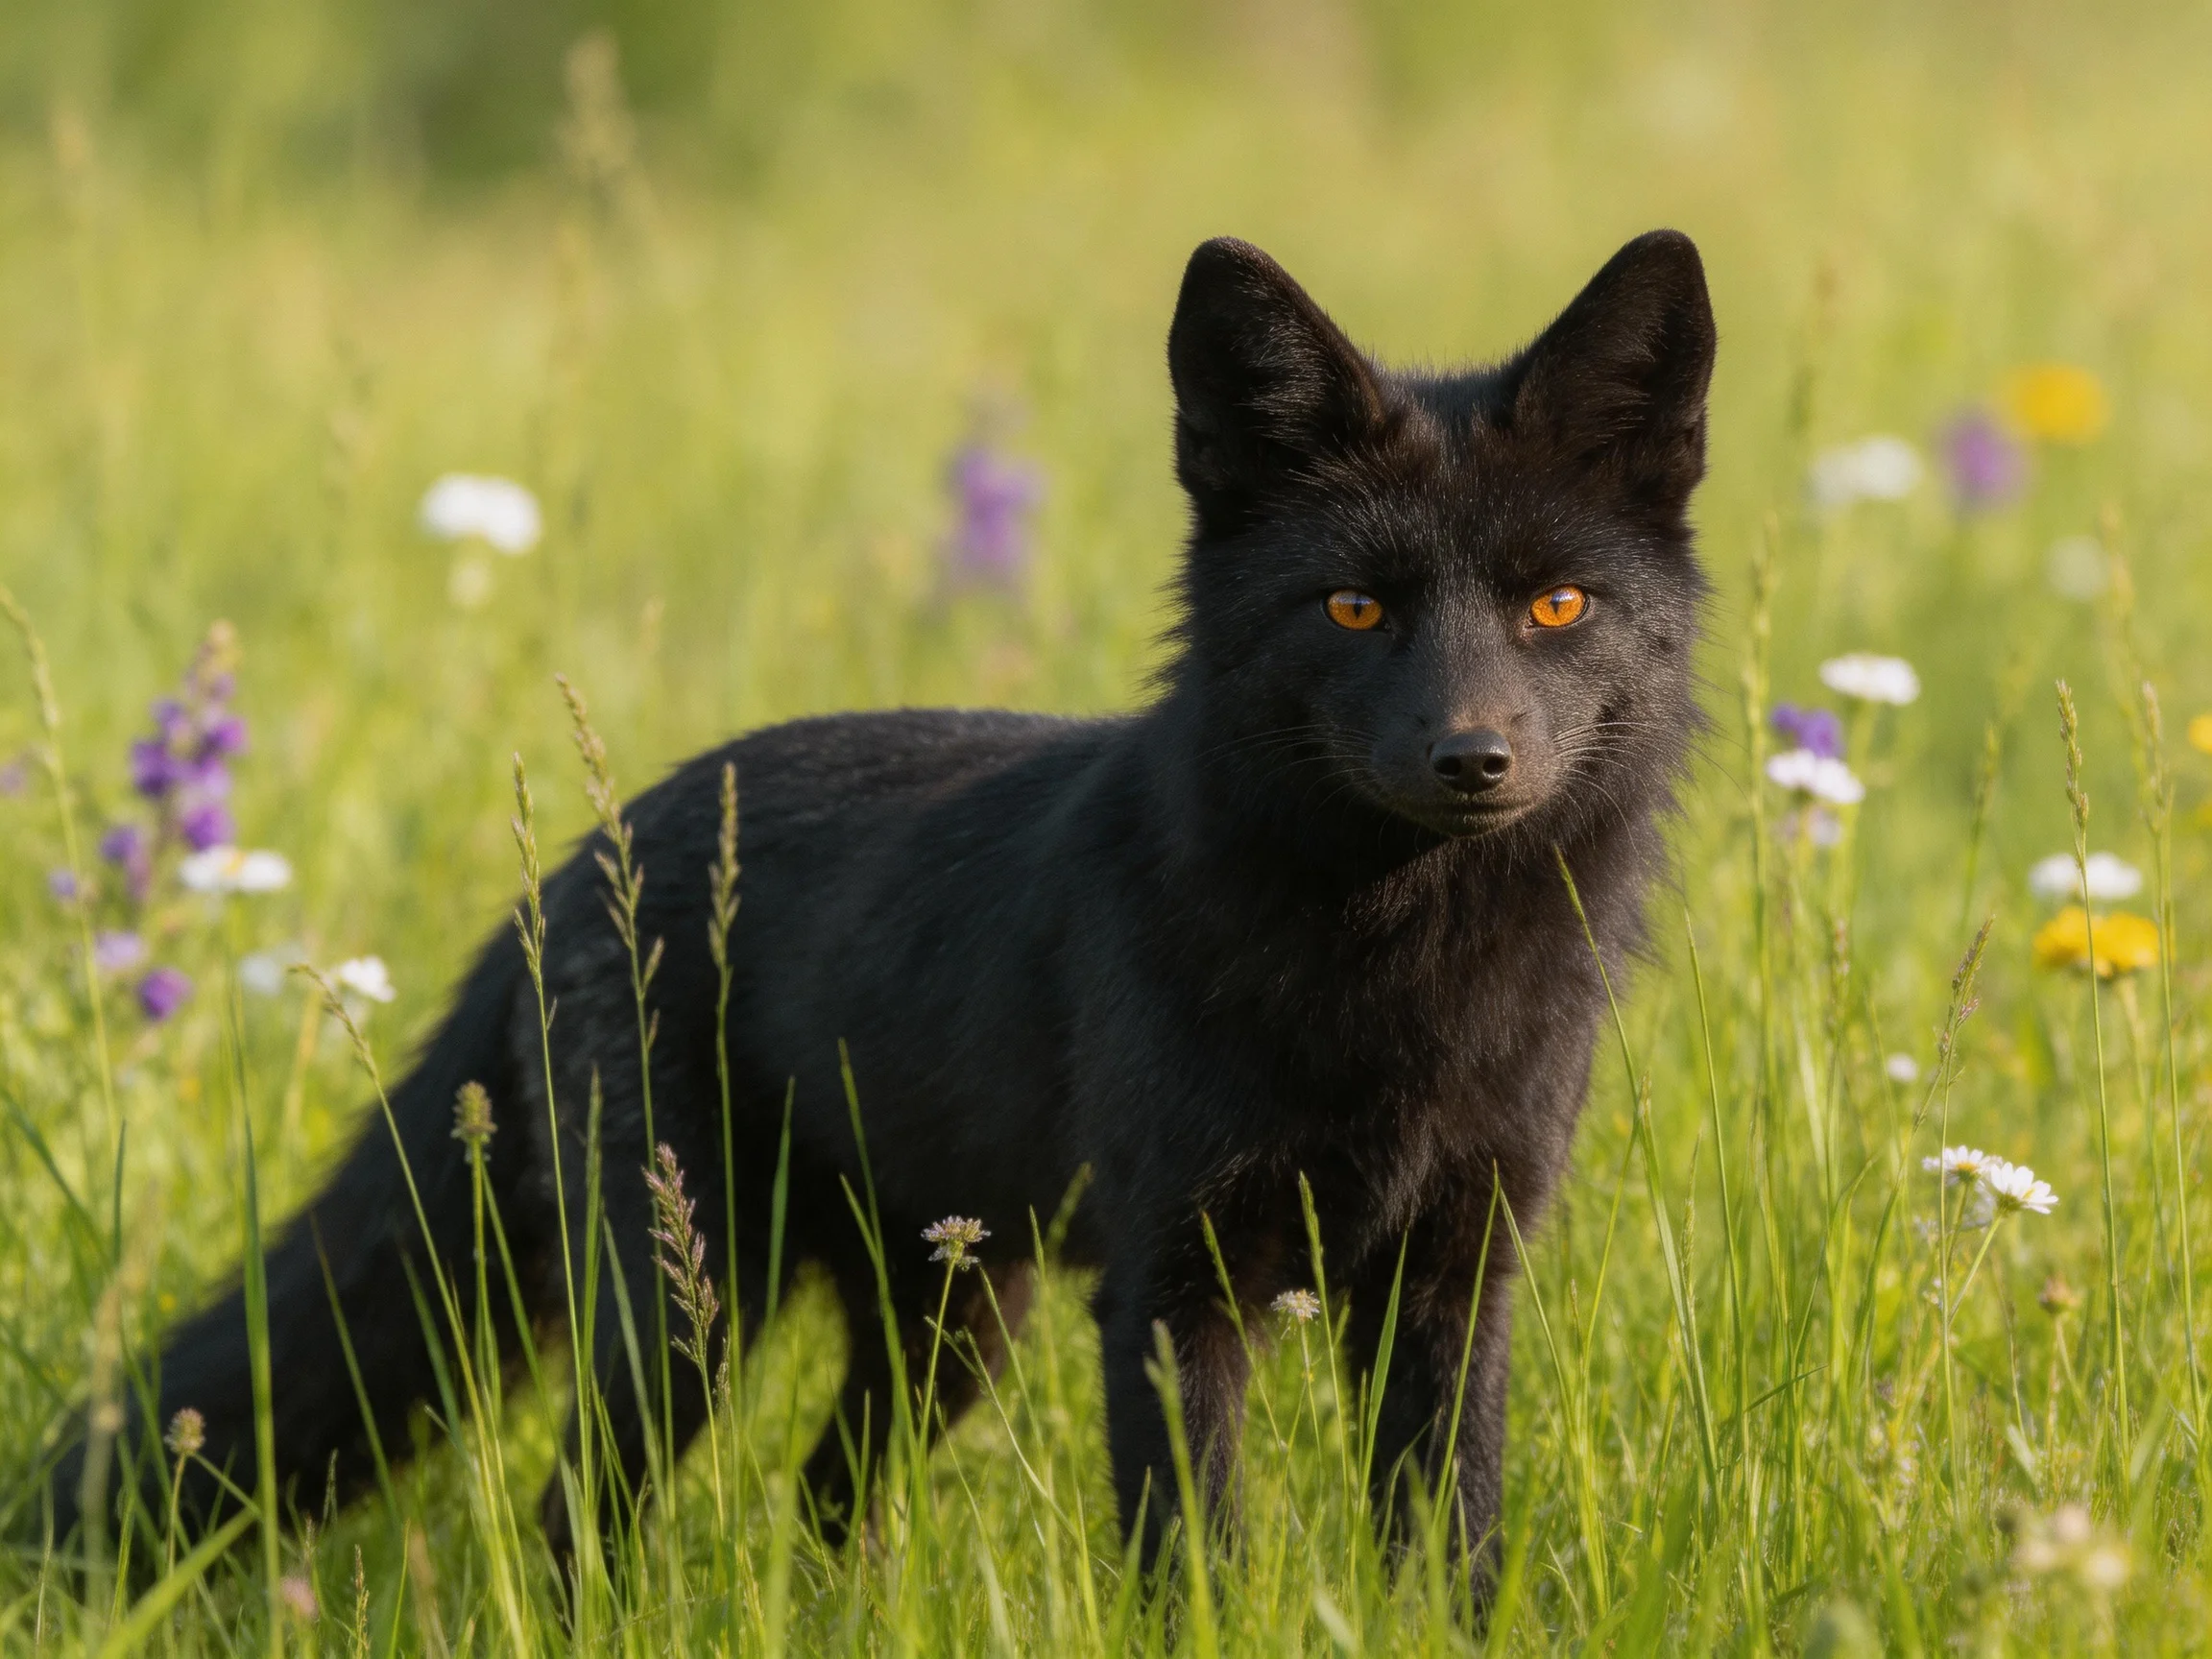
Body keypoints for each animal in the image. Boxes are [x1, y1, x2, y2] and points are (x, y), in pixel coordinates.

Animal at [46, 228, 1714, 1585]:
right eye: (1354, 609)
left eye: (1556, 605)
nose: (1473, 759)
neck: (1404, 991)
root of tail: (590, 851)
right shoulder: (1170, 1292)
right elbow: (1196, 1569)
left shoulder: (1456, 1278)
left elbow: (1453, 1548)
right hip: (691, 1316)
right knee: (577, 1519)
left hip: (949, 1327)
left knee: (818, 1501)